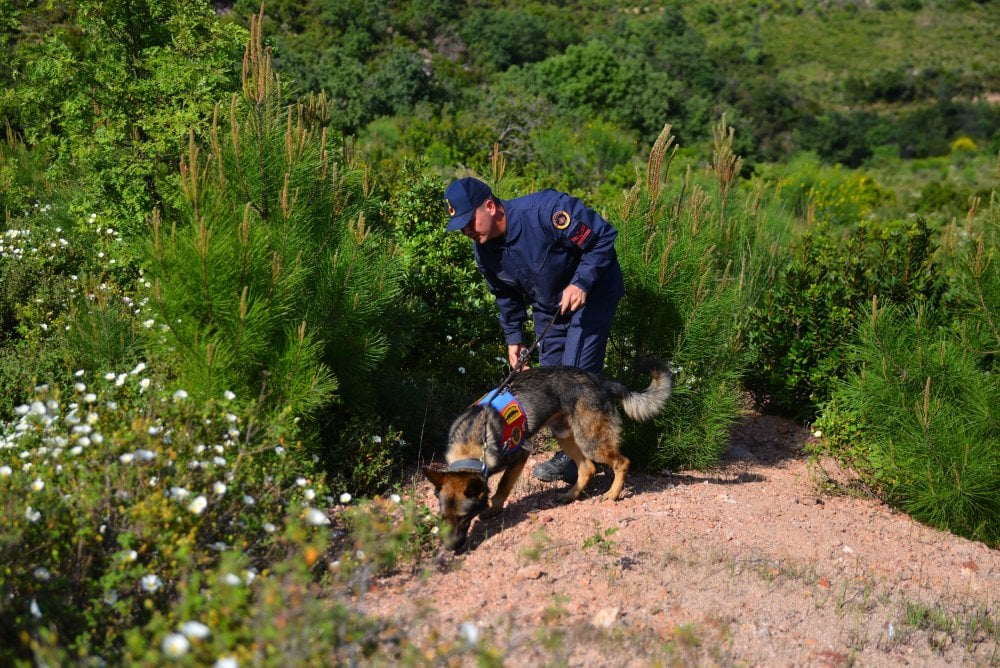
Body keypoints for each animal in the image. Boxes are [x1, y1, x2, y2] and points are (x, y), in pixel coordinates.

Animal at [422, 362, 672, 552]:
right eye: (443, 517)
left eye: (464, 517)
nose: (449, 549)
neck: (472, 443)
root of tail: (600, 381)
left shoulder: (520, 455)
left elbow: (503, 486)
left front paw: (493, 508)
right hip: (565, 436)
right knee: (587, 468)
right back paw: (570, 495)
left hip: (590, 441)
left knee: (622, 462)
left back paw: (612, 494)